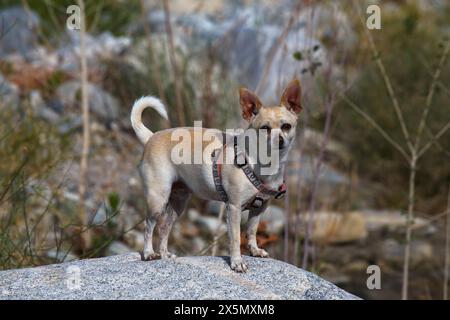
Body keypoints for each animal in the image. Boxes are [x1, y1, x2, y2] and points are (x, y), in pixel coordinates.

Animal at [132, 79, 304, 272]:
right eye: (264, 128)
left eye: (286, 127)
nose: (279, 140)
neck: (264, 163)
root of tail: (151, 136)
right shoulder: (234, 208)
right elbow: (235, 238)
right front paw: (237, 262)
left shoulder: (259, 208)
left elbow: (251, 230)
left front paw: (254, 250)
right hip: (158, 199)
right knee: (148, 225)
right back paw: (148, 253)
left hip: (178, 202)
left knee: (163, 227)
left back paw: (164, 254)